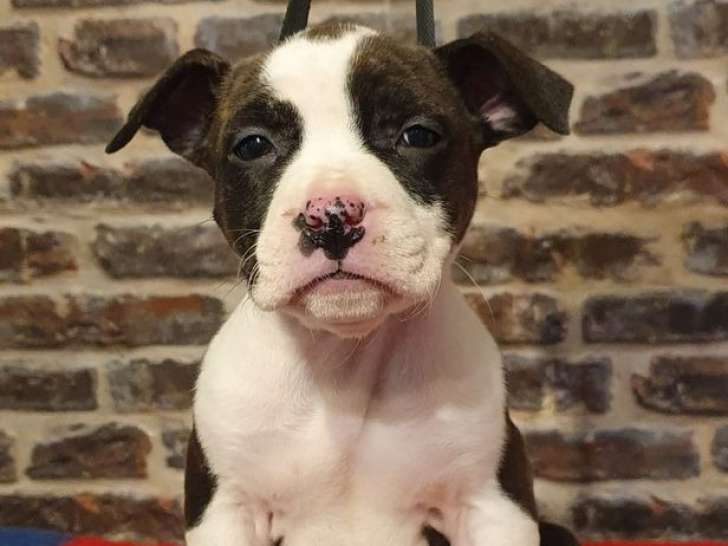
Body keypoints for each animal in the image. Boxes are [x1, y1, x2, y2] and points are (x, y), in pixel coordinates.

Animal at [107, 18, 575, 546]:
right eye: (252, 145)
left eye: (418, 136)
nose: (331, 215)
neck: (342, 360)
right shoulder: (226, 509)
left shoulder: (491, 504)